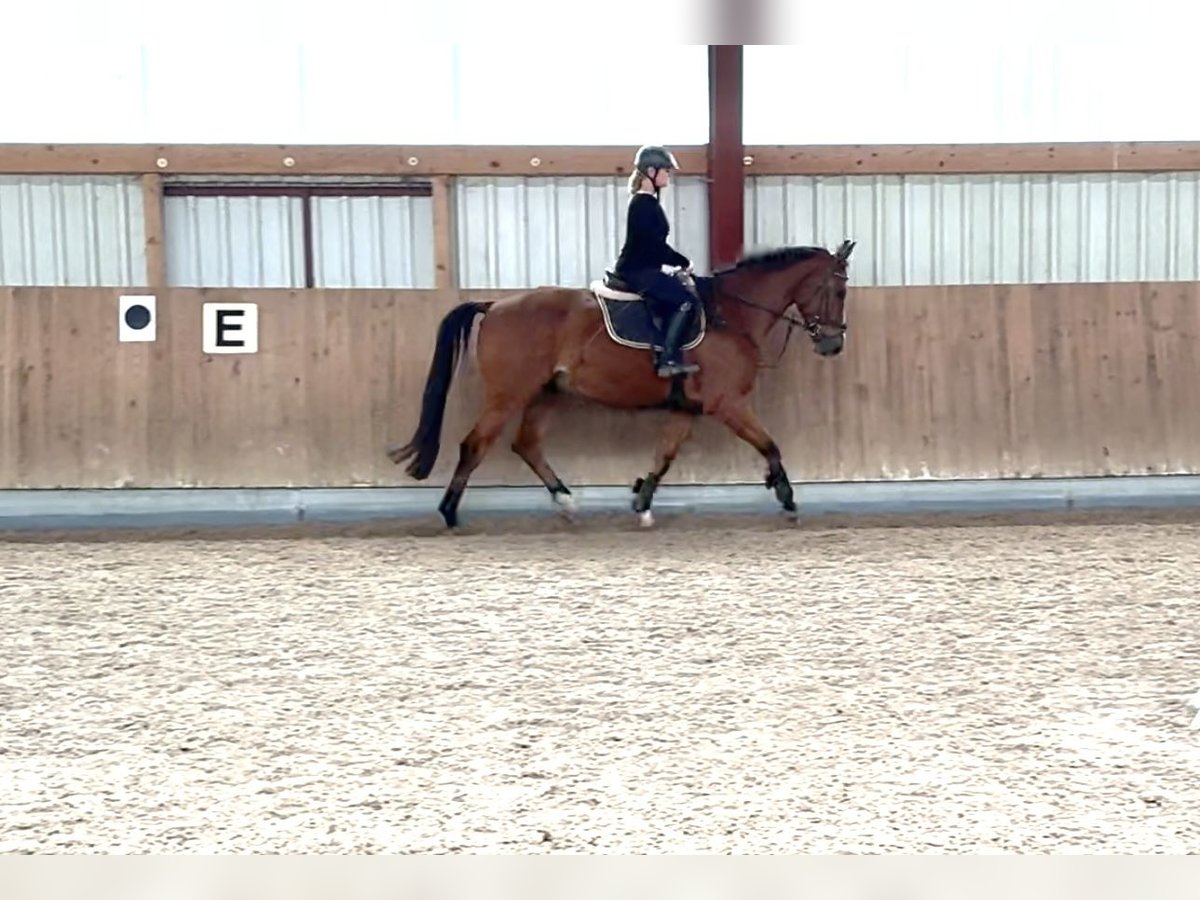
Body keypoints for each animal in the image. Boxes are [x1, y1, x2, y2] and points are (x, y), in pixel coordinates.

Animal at [386, 239, 857, 529]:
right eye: (837, 291)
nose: (833, 344)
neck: (731, 314)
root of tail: (495, 305)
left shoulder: (686, 408)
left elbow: (664, 456)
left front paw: (642, 504)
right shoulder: (727, 404)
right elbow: (770, 445)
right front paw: (787, 498)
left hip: (546, 394)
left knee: (527, 445)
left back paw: (565, 500)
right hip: (508, 395)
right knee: (475, 445)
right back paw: (449, 513)